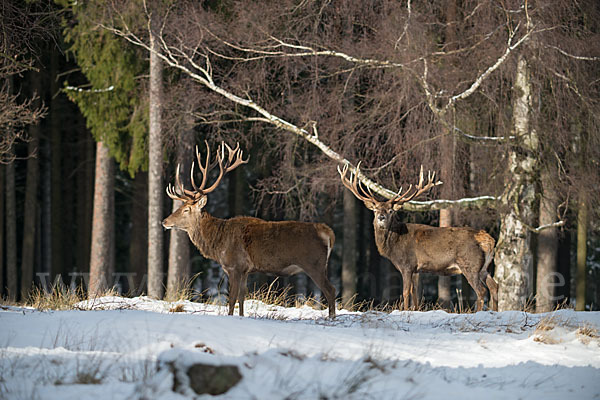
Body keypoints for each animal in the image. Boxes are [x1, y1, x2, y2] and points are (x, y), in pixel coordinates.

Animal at [162, 142, 338, 318]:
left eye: (186, 210)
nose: (164, 221)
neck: (217, 243)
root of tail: (327, 232)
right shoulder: (245, 270)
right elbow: (241, 297)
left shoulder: (234, 266)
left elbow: (232, 299)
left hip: (313, 264)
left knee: (331, 290)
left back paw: (331, 318)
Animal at [338, 163, 496, 312]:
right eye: (375, 209)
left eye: (390, 210)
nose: (381, 217)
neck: (393, 246)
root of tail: (488, 240)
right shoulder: (416, 269)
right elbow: (415, 293)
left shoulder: (407, 264)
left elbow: (405, 292)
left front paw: (405, 311)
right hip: (484, 267)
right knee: (494, 286)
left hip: (470, 264)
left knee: (482, 290)